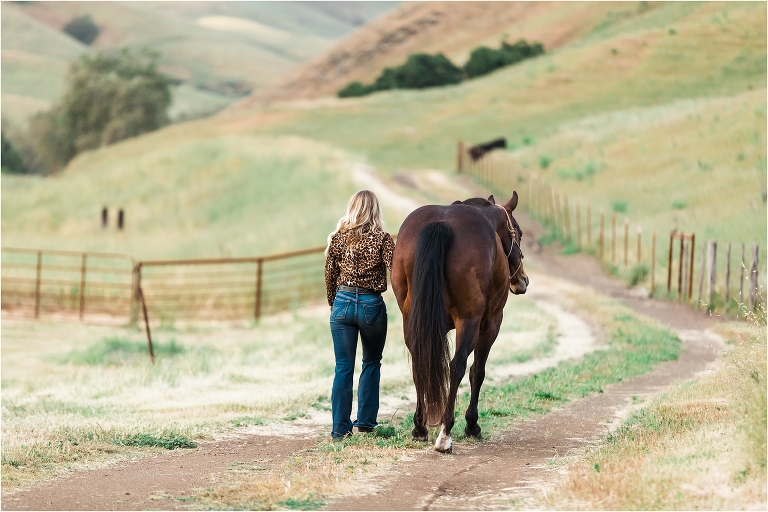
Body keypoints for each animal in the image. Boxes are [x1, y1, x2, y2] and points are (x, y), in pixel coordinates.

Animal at [391, 192, 528, 453]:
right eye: (519, 232)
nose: (522, 280)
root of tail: (441, 223)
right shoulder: (491, 324)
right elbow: (477, 371)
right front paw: (472, 425)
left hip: (411, 322)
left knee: (419, 365)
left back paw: (420, 427)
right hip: (470, 323)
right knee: (458, 367)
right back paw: (445, 433)